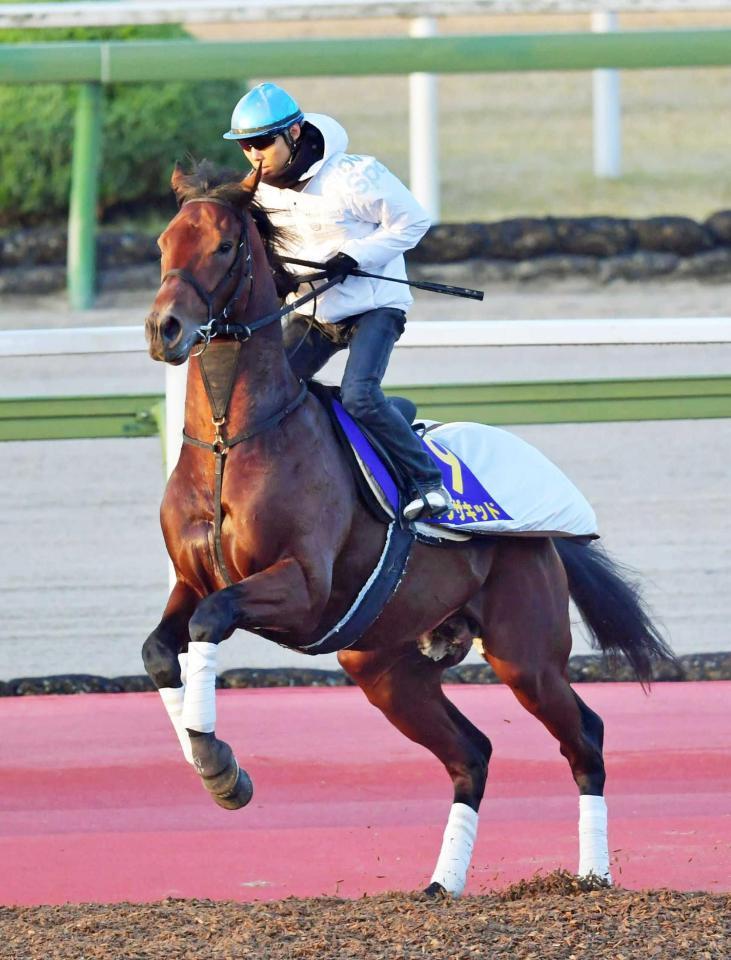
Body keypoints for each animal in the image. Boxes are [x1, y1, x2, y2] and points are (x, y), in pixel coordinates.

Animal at [142, 161, 676, 896]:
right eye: (164, 242)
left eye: (223, 246)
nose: (164, 328)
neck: (232, 439)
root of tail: (549, 540)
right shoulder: (191, 579)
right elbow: (161, 649)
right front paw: (212, 765)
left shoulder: (300, 586)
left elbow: (209, 621)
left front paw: (219, 761)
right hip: (385, 668)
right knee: (471, 753)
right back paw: (442, 883)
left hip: (525, 655)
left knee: (584, 736)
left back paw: (590, 875)